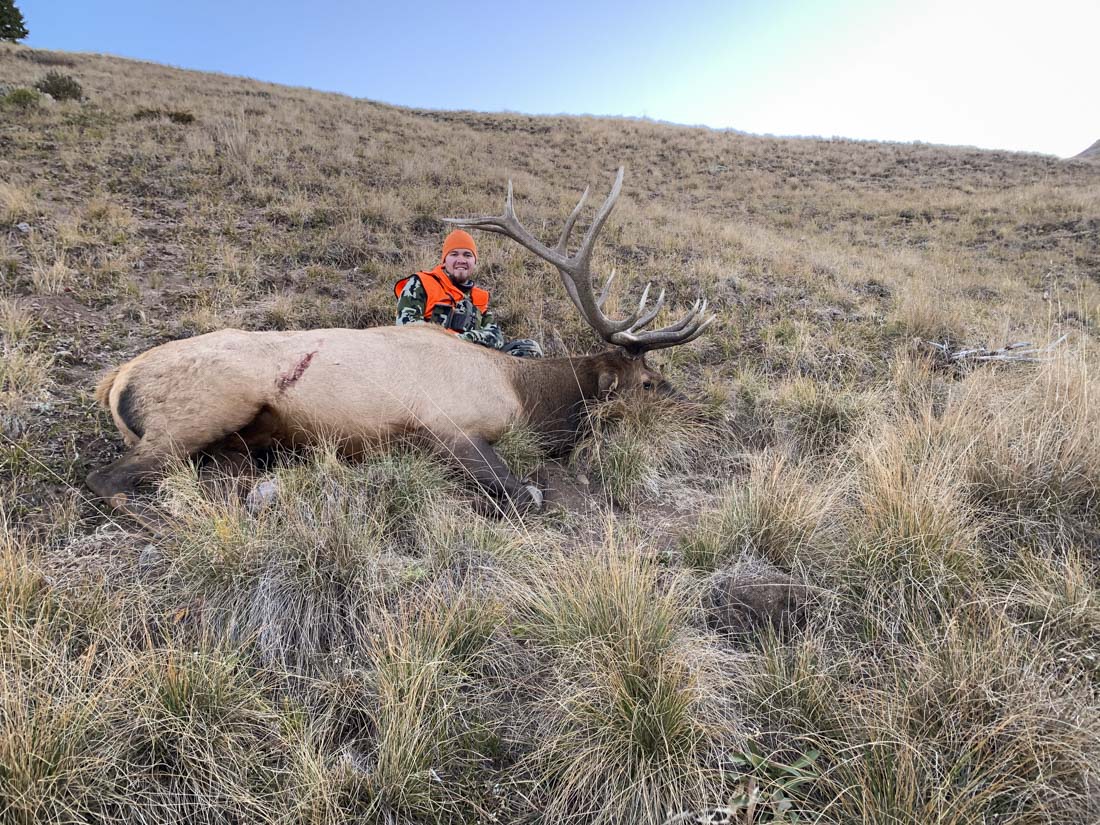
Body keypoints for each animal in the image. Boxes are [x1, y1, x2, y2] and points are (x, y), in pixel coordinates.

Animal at [87, 168, 713, 522]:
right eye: (650, 382)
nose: (703, 413)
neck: (526, 395)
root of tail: (115, 380)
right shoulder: (448, 426)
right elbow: (522, 492)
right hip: (204, 410)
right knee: (107, 480)